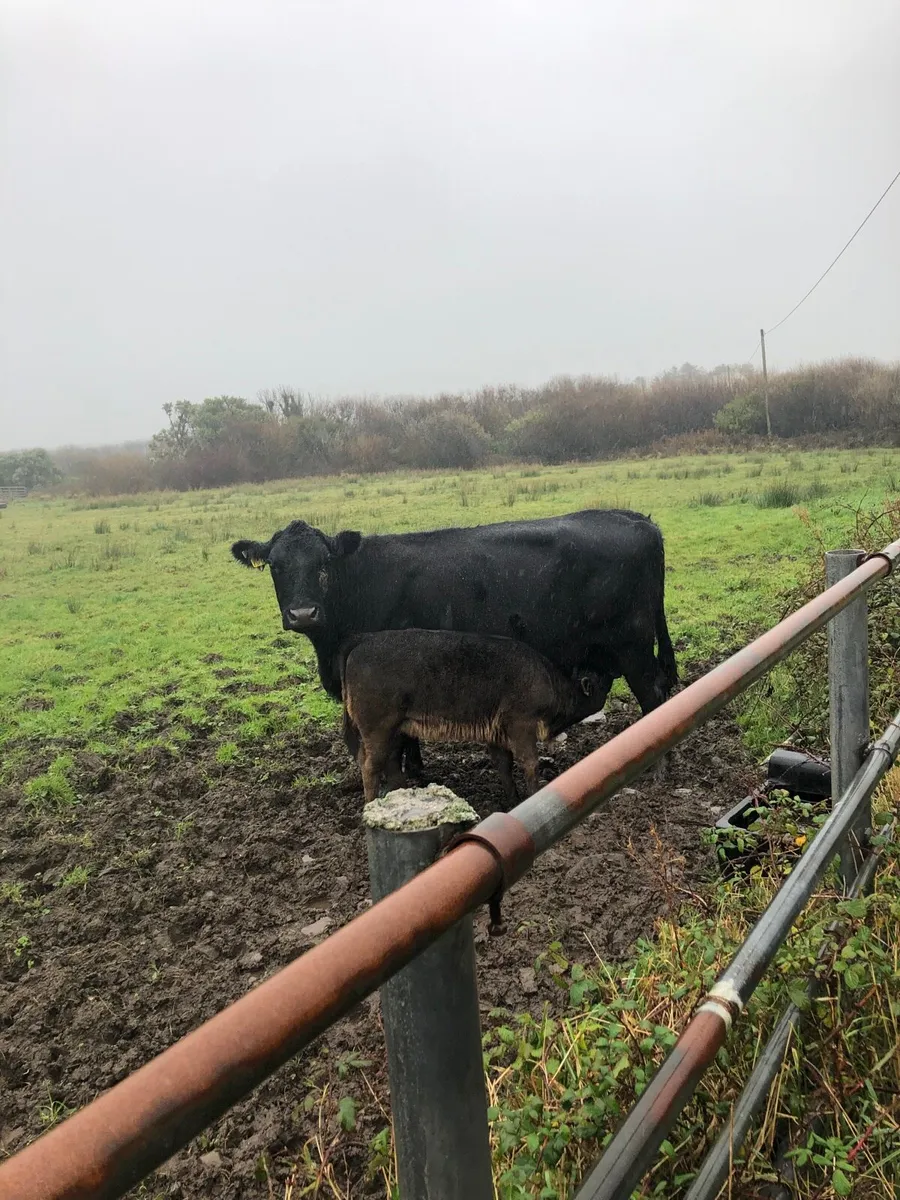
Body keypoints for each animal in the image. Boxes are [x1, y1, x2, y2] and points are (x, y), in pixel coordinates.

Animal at [231, 508, 678, 777]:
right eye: (276, 566)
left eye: (323, 563)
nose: (303, 613)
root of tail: (638, 519)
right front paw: (415, 772)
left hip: (633, 646)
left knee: (654, 695)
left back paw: (659, 765)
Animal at [339, 628, 609, 804]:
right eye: (598, 684)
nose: (611, 676)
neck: (549, 681)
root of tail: (360, 643)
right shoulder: (521, 725)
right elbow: (530, 763)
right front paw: (533, 796)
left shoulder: (496, 732)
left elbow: (504, 766)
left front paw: (513, 800)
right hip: (378, 729)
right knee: (371, 766)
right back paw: (371, 804)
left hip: (397, 729)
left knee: (391, 763)